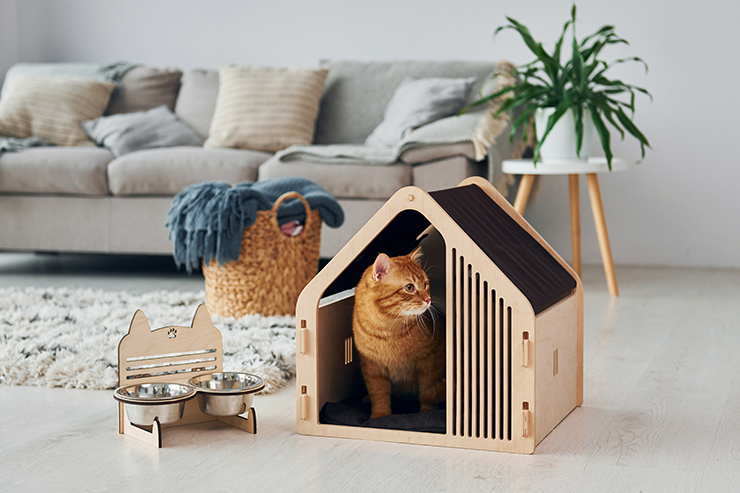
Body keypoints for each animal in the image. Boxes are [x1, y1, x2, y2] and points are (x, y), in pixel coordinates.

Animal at [352, 248, 446, 418]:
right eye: (409, 287)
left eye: (425, 284)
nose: (428, 299)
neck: (388, 330)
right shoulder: (372, 367)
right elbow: (378, 394)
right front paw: (380, 415)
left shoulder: (430, 361)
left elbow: (427, 391)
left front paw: (426, 412)